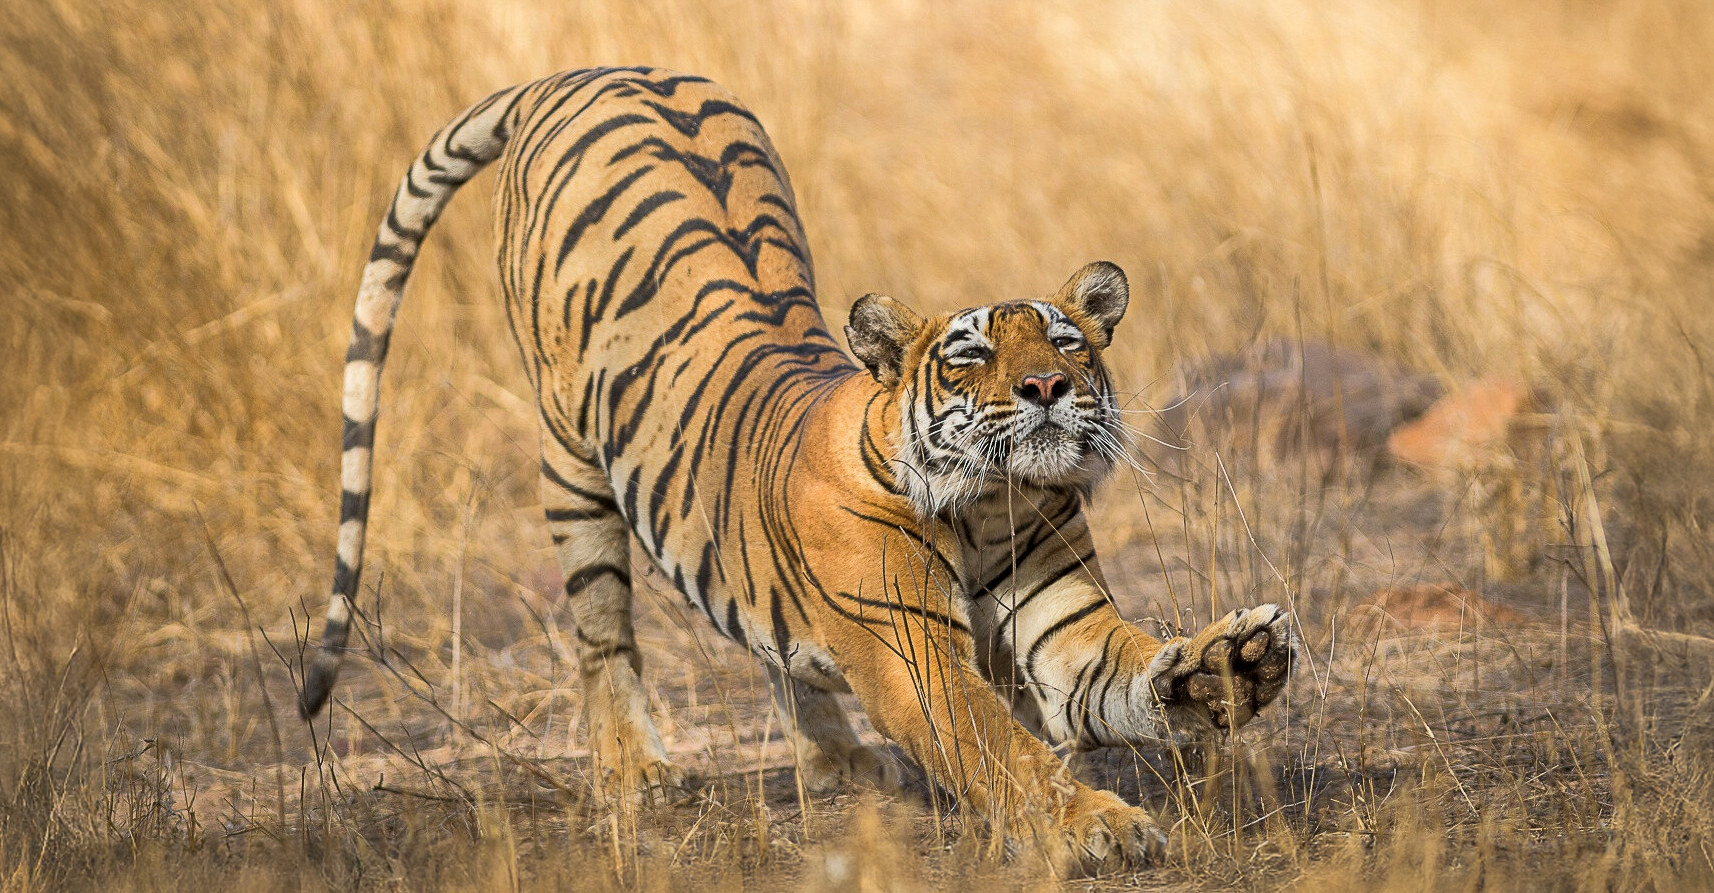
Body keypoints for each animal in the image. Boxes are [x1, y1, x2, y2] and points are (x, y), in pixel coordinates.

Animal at [298, 67, 1294, 875]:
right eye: (972, 354)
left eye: (1067, 342)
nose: (1048, 386)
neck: (988, 502)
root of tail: (580, 70)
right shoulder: (913, 652)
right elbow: (998, 746)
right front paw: (1096, 826)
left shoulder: (1065, 631)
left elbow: (1124, 672)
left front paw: (1229, 662)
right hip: (568, 458)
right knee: (601, 629)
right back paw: (639, 772)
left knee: (768, 644)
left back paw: (842, 764)